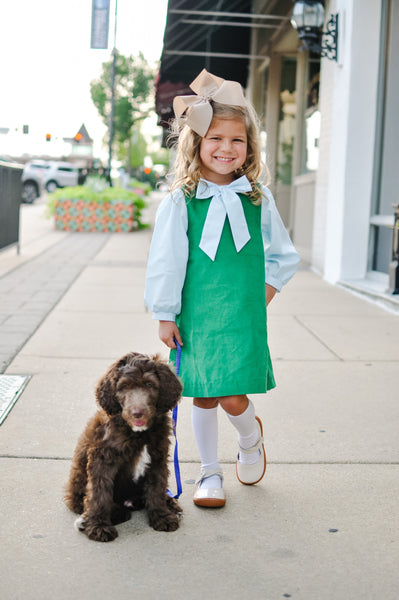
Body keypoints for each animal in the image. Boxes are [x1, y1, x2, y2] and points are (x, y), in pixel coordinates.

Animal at [64, 352, 183, 544]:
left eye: (149, 384)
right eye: (124, 386)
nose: (137, 413)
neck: (138, 434)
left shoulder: (157, 457)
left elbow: (157, 487)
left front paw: (162, 516)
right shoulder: (103, 458)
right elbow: (99, 494)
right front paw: (98, 527)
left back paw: (170, 504)